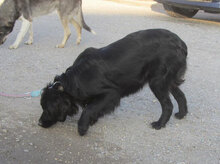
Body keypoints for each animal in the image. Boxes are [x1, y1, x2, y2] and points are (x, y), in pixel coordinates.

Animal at [39, 28, 187, 136]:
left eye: (47, 108)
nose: (39, 123)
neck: (75, 79)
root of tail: (180, 43)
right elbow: (93, 108)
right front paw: (92, 121)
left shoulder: (111, 94)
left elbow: (88, 109)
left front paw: (82, 127)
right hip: (168, 80)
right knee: (181, 96)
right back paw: (181, 114)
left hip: (157, 81)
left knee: (168, 105)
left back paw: (159, 124)